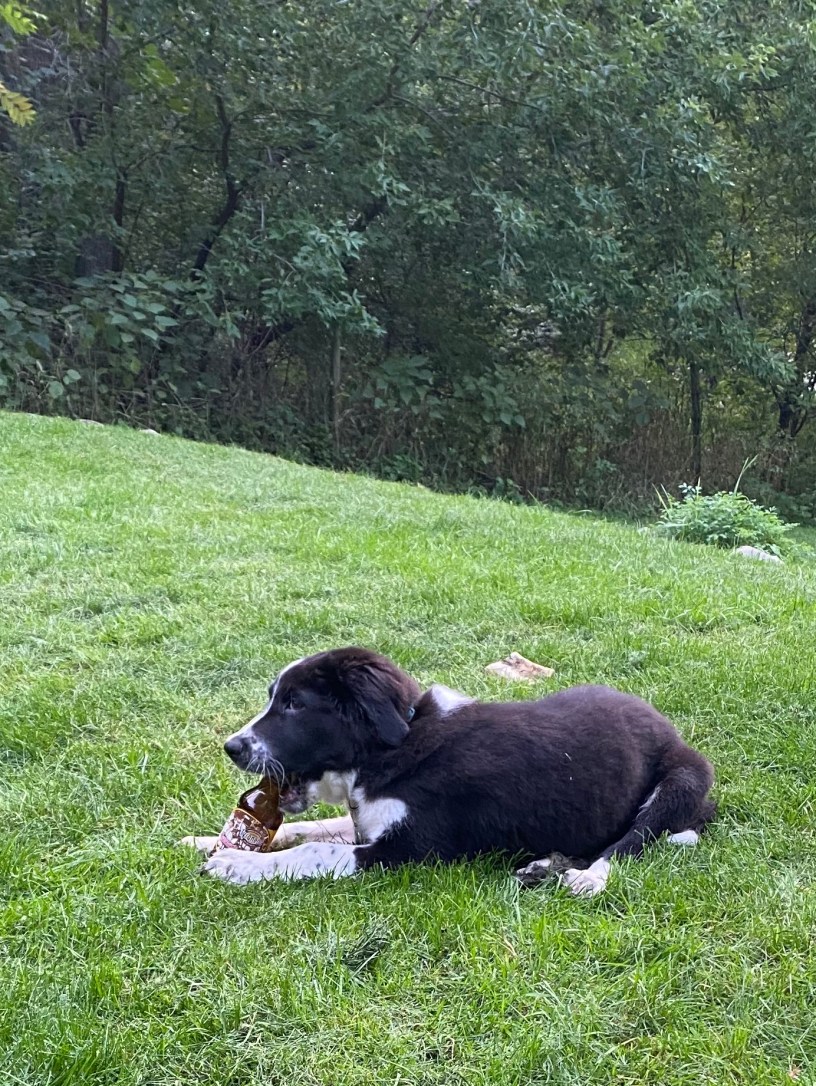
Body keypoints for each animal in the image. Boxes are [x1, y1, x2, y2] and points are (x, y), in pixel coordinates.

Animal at [192, 647, 715, 895]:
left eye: (295, 705)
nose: (232, 748)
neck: (396, 747)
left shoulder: (410, 850)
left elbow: (316, 850)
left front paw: (238, 864)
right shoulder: (370, 820)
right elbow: (315, 827)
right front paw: (208, 841)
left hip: (683, 779)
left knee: (630, 841)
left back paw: (588, 877)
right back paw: (544, 865)